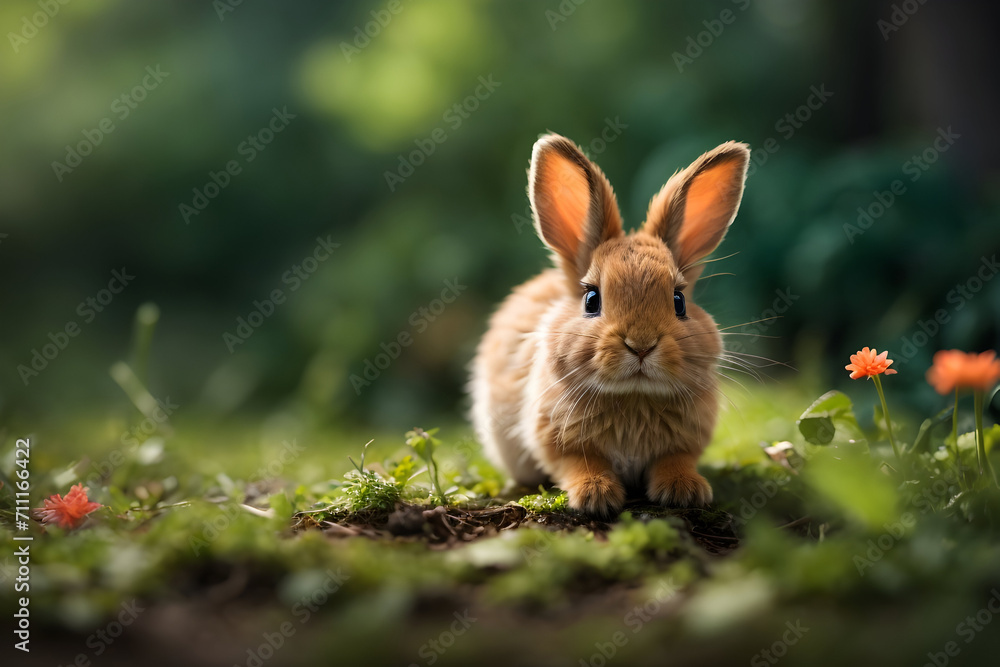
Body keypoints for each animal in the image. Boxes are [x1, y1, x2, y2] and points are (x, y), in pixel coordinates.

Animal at [470, 133, 750, 517]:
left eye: (679, 300)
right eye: (591, 300)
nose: (641, 345)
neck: (633, 397)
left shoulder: (683, 443)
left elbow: (675, 460)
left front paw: (685, 489)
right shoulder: (559, 442)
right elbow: (579, 464)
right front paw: (596, 495)